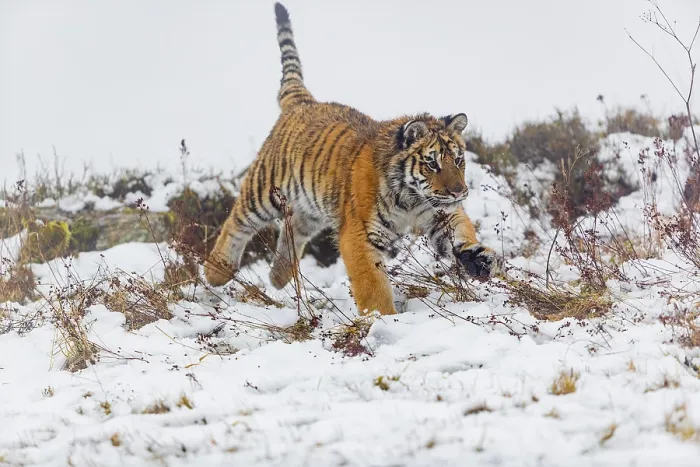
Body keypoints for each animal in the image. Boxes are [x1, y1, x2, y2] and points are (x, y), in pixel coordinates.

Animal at [204, 2, 503, 315]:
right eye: (432, 163)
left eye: (458, 160)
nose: (459, 192)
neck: (412, 198)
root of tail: (303, 101)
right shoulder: (358, 233)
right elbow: (372, 284)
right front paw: (383, 319)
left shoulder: (441, 214)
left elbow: (461, 231)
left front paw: (481, 259)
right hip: (264, 192)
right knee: (236, 223)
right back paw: (216, 272)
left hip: (311, 208)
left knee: (292, 229)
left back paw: (278, 277)